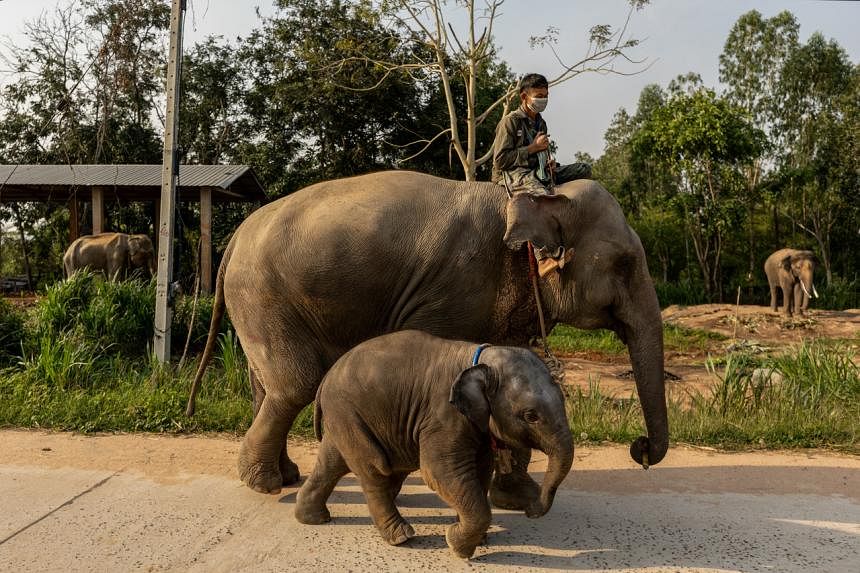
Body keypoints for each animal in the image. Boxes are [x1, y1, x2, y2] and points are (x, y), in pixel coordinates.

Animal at [190, 169, 672, 510]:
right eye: (625, 263)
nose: (641, 450)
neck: (533, 197)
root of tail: (236, 237)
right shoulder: (455, 288)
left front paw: (517, 499)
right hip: (264, 296)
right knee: (295, 384)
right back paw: (265, 484)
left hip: (261, 305)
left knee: (267, 385)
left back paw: (285, 476)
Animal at [294, 328, 572, 556]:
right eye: (531, 416)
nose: (529, 511)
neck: (481, 359)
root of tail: (325, 380)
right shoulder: (443, 416)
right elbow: (438, 472)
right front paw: (457, 544)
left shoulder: (475, 425)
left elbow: (480, 470)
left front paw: (477, 539)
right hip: (349, 415)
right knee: (374, 468)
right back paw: (401, 537)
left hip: (345, 419)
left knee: (333, 462)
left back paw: (313, 518)